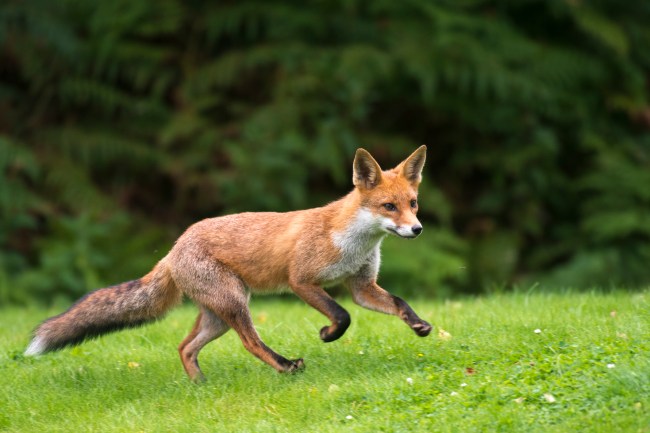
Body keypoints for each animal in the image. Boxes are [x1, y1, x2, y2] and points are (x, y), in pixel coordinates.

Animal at [25, 146, 433, 381]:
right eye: (388, 207)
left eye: (412, 203)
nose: (416, 229)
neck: (352, 241)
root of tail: (174, 248)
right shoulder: (301, 281)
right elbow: (343, 315)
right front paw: (328, 334)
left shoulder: (362, 286)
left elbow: (397, 302)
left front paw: (418, 324)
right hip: (236, 304)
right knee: (250, 343)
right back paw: (284, 366)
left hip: (218, 315)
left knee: (184, 347)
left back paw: (200, 386)